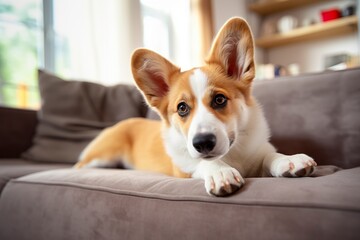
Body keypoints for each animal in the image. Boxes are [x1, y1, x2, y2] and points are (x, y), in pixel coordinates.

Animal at [74, 17, 316, 197]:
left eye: (219, 99)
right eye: (182, 108)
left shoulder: (259, 152)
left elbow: (270, 156)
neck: (232, 154)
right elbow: (201, 163)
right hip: (101, 156)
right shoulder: (183, 169)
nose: (203, 143)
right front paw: (220, 172)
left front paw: (289, 160)